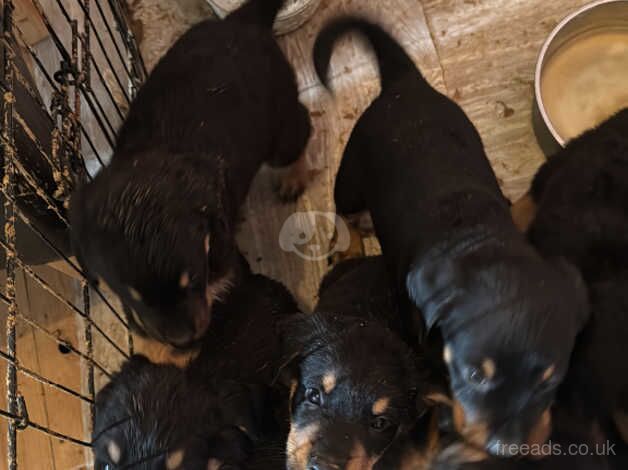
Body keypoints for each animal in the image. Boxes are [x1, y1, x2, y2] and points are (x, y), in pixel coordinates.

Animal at [70, 0, 312, 346]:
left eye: (193, 278)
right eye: (130, 295)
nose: (182, 340)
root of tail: (242, 20)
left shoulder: (221, 250)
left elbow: (223, 278)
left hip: (279, 122)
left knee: (299, 128)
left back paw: (292, 178)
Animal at [314, 17, 588, 456]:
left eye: (551, 379)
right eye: (475, 376)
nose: (507, 448)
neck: (483, 239)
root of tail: (406, 83)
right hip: (352, 174)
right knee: (344, 210)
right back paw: (349, 245)